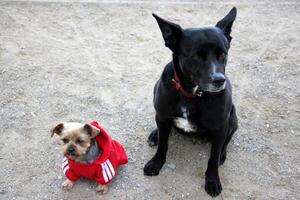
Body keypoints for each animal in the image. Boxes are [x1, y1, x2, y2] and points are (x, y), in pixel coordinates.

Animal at [144, 7, 238, 197]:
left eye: (223, 54)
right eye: (196, 56)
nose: (219, 80)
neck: (191, 94)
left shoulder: (220, 127)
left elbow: (212, 159)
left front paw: (212, 180)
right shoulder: (162, 115)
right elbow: (163, 145)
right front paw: (156, 163)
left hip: (232, 118)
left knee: (226, 141)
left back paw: (223, 154)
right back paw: (155, 134)